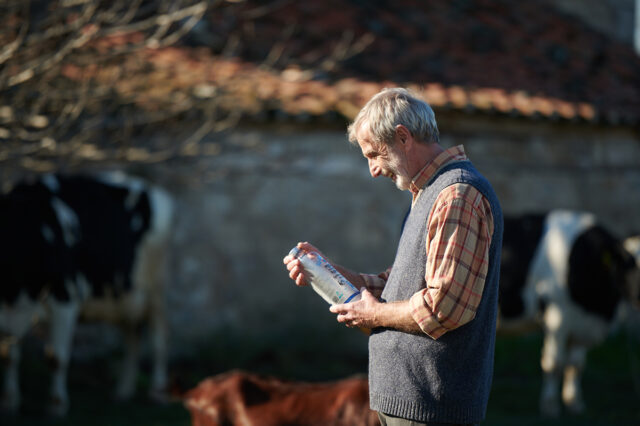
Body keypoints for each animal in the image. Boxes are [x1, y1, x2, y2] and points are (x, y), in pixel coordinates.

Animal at [0, 171, 174, 414]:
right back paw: (123, 391)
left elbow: (56, 357)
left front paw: (57, 406)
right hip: (124, 296)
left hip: (157, 288)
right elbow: (8, 356)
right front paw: (9, 402)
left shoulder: (65, 298)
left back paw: (157, 392)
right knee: (132, 336)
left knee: (159, 338)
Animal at [500, 210, 640, 416]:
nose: (639, 297)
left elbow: (576, 365)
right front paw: (550, 407)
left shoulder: (582, 322)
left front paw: (574, 403)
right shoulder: (558, 316)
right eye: (628, 264)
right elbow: (554, 363)